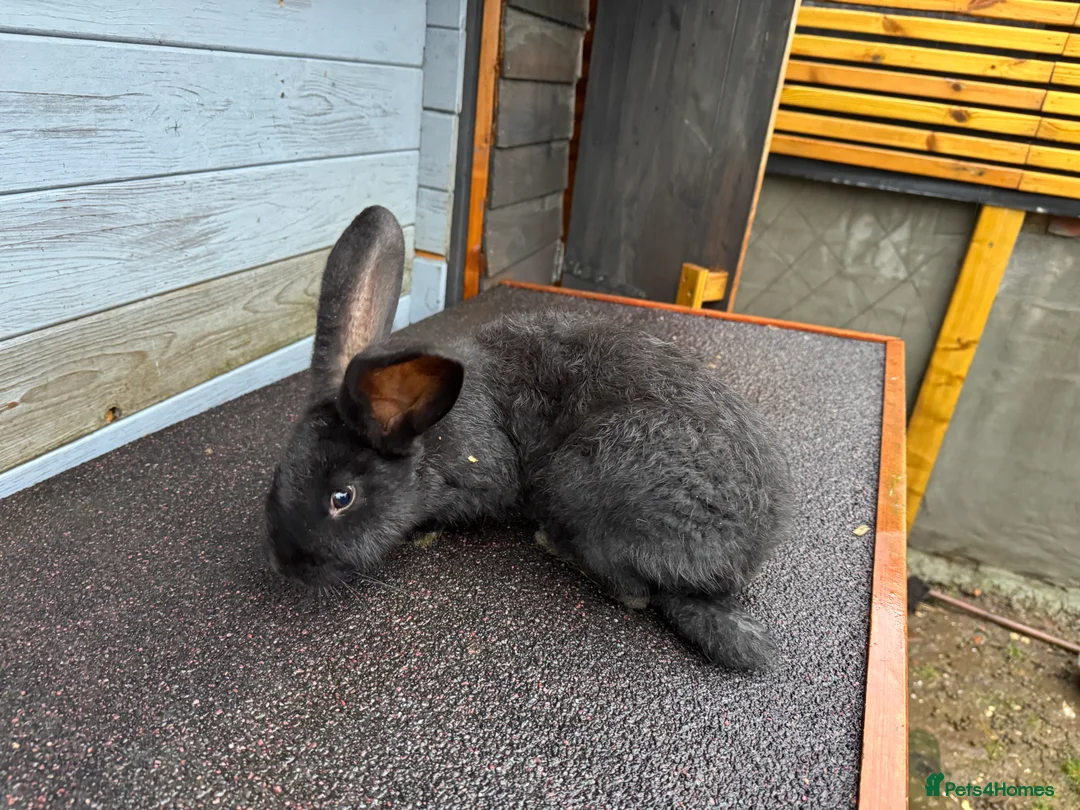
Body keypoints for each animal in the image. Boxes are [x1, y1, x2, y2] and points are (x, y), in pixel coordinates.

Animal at [264, 206, 793, 671]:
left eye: (342, 497)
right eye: (278, 475)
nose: (286, 566)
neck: (427, 439)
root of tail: (735, 564)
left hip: (584, 480)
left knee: (634, 593)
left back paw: (551, 541)